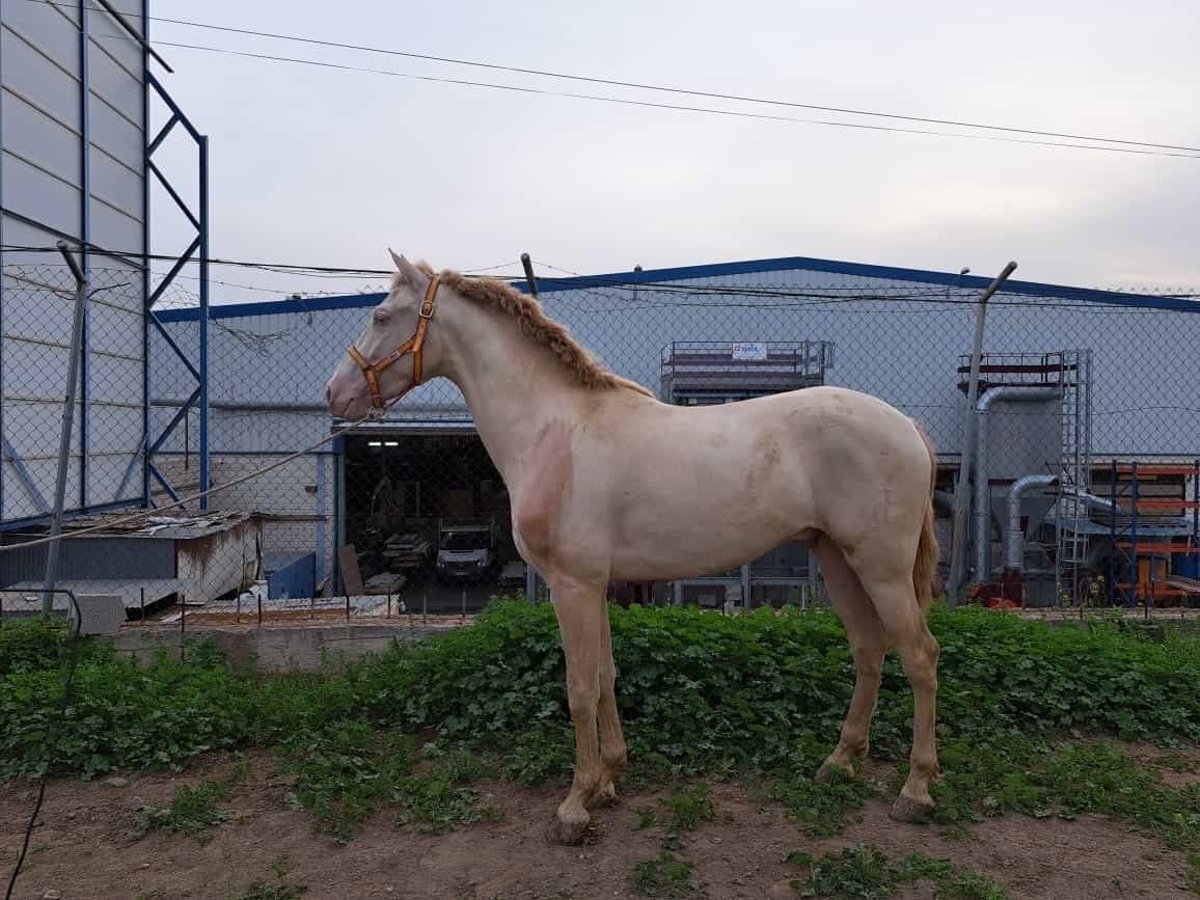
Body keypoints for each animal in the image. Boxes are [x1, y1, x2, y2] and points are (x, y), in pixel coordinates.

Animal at [324, 254, 940, 844]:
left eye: (381, 315)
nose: (335, 394)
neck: (554, 430)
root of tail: (907, 425)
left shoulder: (571, 585)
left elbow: (577, 688)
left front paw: (574, 806)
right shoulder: (595, 585)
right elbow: (604, 677)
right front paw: (607, 780)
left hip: (881, 568)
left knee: (920, 656)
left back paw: (915, 791)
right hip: (838, 561)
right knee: (868, 648)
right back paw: (840, 762)